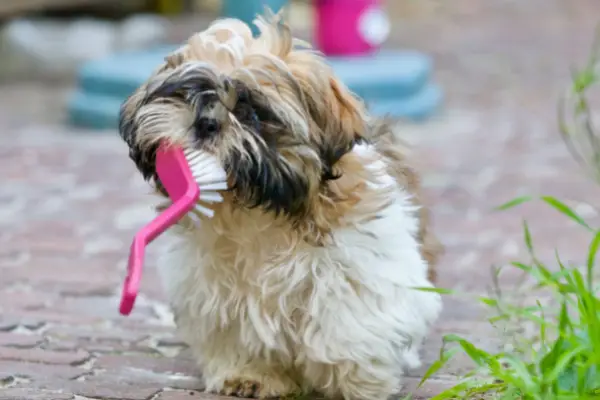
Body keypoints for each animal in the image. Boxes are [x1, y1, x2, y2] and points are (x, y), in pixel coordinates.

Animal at [118, 13, 440, 400]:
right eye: (188, 94)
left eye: (252, 112)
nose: (206, 122)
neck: (252, 207)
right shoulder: (211, 284)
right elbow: (234, 328)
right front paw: (248, 374)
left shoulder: (359, 264)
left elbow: (346, 323)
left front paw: (355, 381)